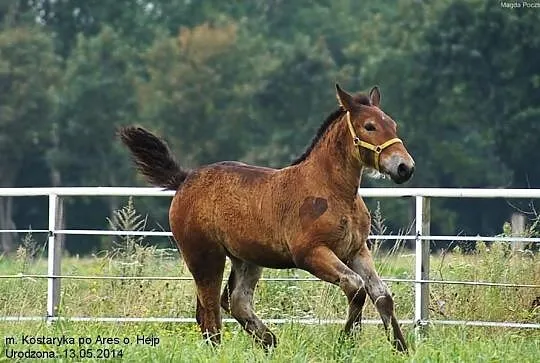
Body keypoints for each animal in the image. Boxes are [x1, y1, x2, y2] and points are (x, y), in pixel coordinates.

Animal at [120, 84, 416, 352]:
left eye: (392, 124)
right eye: (369, 126)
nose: (405, 167)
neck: (330, 190)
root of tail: (185, 179)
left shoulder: (356, 250)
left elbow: (381, 294)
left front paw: (401, 348)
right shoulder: (310, 253)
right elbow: (355, 287)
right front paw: (345, 344)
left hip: (246, 259)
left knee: (236, 301)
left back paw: (269, 341)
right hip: (204, 257)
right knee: (210, 312)